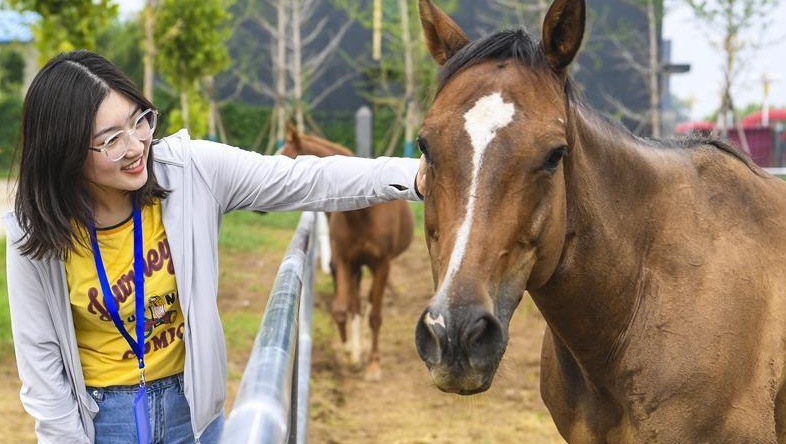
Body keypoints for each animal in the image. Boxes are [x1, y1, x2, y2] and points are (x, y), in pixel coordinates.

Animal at [281, 124, 415, 381]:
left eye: (286, 156)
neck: (363, 214)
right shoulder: (344, 261)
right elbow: (342, 310)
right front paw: (348, 354)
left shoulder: (381, 264)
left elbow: (375, 316)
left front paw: (373, 364)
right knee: (356, 303)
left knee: (370, 302)